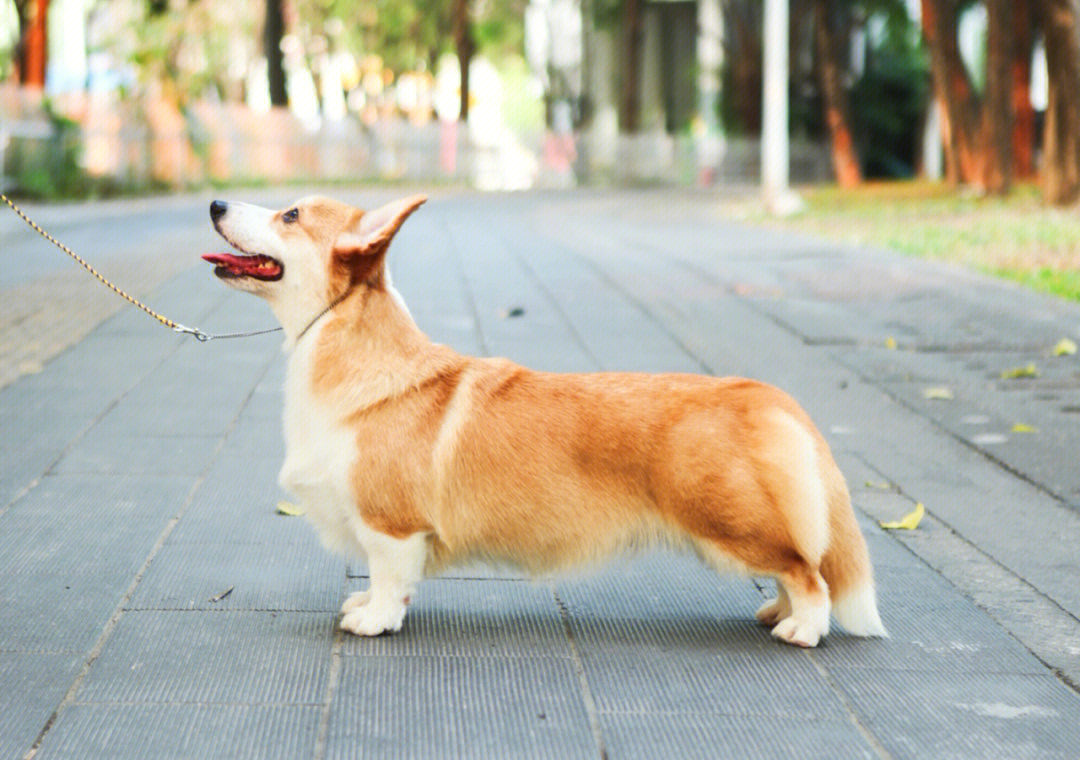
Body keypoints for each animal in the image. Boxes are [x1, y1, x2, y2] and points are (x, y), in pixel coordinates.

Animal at [204, 194, 885, 647]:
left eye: (290, 216)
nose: (214, 202)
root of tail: (769, 397)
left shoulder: (390, 524)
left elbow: (391, 576)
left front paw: (375, 619)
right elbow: (381, 579)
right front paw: (366, 603)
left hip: (726, 522)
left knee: (808, 572)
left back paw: (802, 629)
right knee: (798, 565)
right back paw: (777, 613)